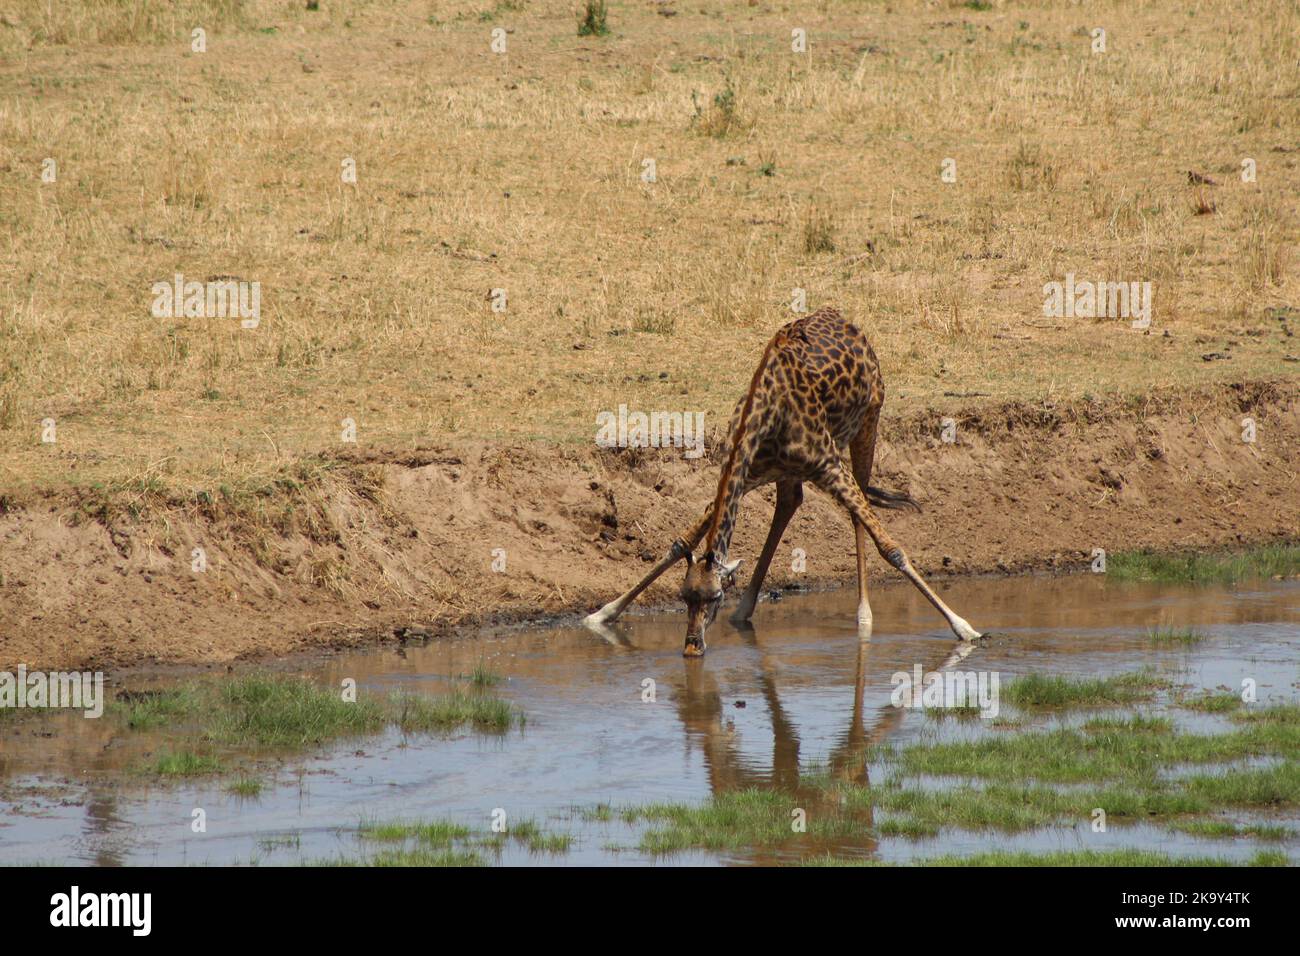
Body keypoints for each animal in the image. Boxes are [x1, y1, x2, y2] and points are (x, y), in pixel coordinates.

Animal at [585, 306, 977, 658]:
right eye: (684, 596)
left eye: (715, 596)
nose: (692, 647)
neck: (767, 413)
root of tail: (847, 322)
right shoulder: (747, 473)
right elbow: (682, 541)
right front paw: (603, 613)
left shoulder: (829, 464)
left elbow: (891, 548)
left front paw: (965, 628)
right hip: (790, 471)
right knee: (791, 503)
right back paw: (745, 611)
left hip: (868, 422)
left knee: (856, 512)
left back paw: (864, 615)